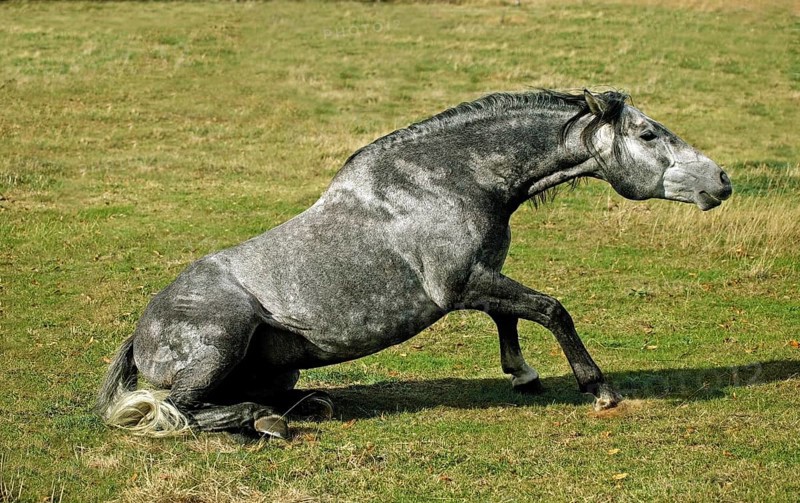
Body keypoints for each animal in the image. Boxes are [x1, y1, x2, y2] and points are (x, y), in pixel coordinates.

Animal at [96, 89, 732, 439]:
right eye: (647, 134)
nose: (721, 181)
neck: (448, 180)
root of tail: (141, 333)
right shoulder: (461, 286)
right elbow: (551, 309)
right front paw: (597, 388)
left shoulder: (482, 277)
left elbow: (511, 316)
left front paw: (522, 374)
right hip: (221, 345)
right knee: (178, 409)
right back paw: (265, 422)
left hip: (278, 367)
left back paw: (303, 406)